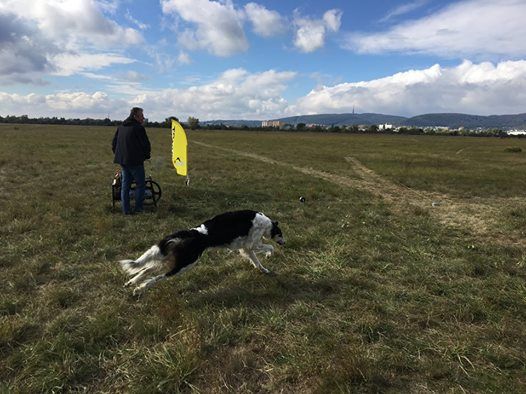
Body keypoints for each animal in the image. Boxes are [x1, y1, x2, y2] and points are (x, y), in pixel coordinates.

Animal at [119, 211, 284, 294]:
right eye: (281, 234)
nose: (285, 242)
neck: (265, 222)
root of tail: (193, 233)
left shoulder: (246, 248)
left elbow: (257, 262)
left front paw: (264, 270)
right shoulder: (252, 244)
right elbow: (269, 247)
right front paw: (269, 254)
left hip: (173, 259)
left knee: (146, 269)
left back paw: (131, 282)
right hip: (185, 264)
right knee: (158, 277)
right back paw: (140, 288)